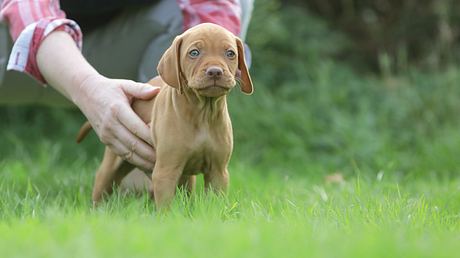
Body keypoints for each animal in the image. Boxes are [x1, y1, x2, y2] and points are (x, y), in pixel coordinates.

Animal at [77, 23, 253, 209]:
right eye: (194, 53)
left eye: (230, 53)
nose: (215, 72)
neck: (203, 113)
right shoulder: (166, 171)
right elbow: (165, 208)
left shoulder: (218, 172)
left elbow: (215, 202)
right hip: (114, 161)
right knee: (102, 186)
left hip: (184, 175)